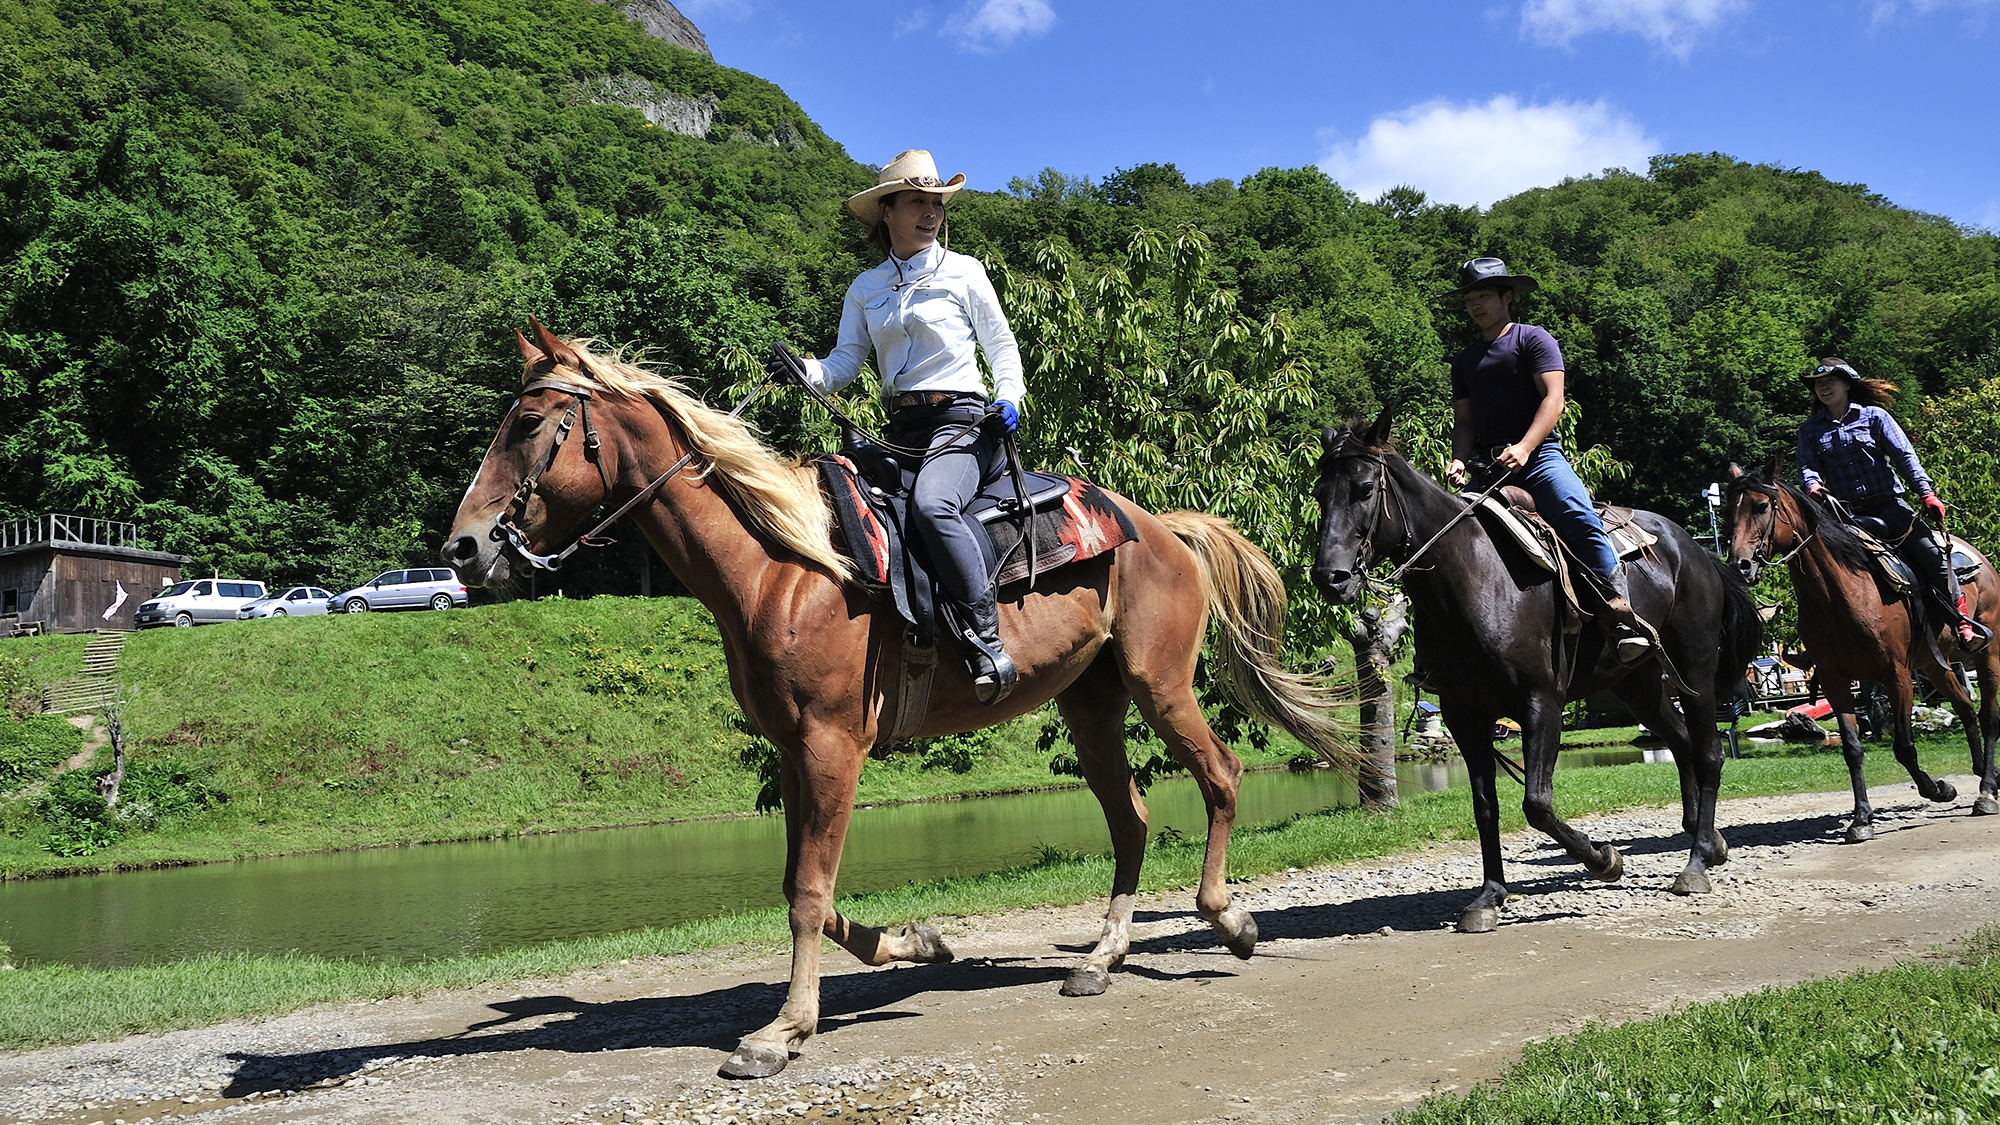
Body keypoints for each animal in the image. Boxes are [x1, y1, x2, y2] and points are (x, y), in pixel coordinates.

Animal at [440, 320, 1360, 1072]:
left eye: (530, 424)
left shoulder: (833, 746)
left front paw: (781, 1032)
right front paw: (917, 942)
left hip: (1158, 684)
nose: (463, 547)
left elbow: (808, 892)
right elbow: (802, 886)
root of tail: (1162, 527)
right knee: (1130, 817)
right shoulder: (794, 750)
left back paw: (1229, 921)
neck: (783, 566)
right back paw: (1100, 959)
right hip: (1090, 703)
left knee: (1220, 776)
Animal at [1304, 412, 1760, 928]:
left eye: (1364, 489)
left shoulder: (1542, 702)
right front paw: (1489, 896)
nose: (1330, 577)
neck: (1474, 577)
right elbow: (1485, 805)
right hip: (1637, 683)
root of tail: (1696, 550)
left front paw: (1604, 859)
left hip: (1695, 668)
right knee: (1681, 742)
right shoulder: (1463, 713)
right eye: (1319, 493)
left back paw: (1697, 861)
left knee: (1708, 752)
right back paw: (1711, 841)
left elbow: (1537, 804)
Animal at [1720, 452, 2000, 832]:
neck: (1840, 594)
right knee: (1967, 709)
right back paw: (1983, 773)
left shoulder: (1897, 676)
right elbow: (1852, 748)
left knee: (1988, 716)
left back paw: (1986, 789)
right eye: (1728, 512)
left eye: (1762, 506)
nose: (1741, 565)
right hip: (1934, 663)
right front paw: (1861, 818)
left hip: (1987, 653)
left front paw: (1938, 789)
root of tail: (1978, 558)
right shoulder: (1835, 680)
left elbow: (1903, 746)